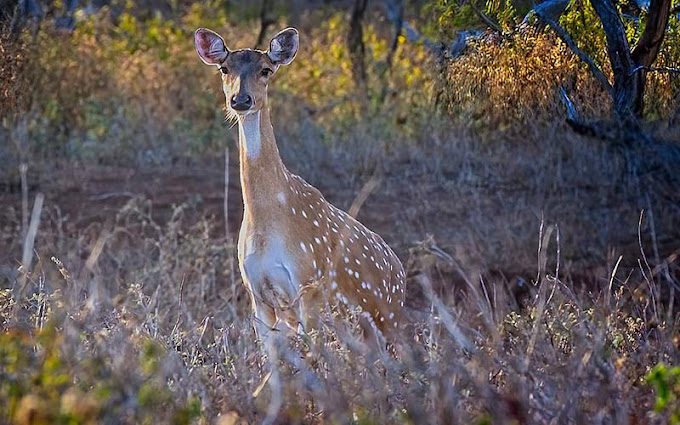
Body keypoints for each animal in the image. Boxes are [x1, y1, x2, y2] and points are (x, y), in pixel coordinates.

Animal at [194, 27, 406, 349]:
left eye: (266, 70)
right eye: (224, 68)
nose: (240, 100)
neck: (268, 220)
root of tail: (402, 276)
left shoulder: (310, 283)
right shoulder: (258, 295)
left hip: (389, 320)